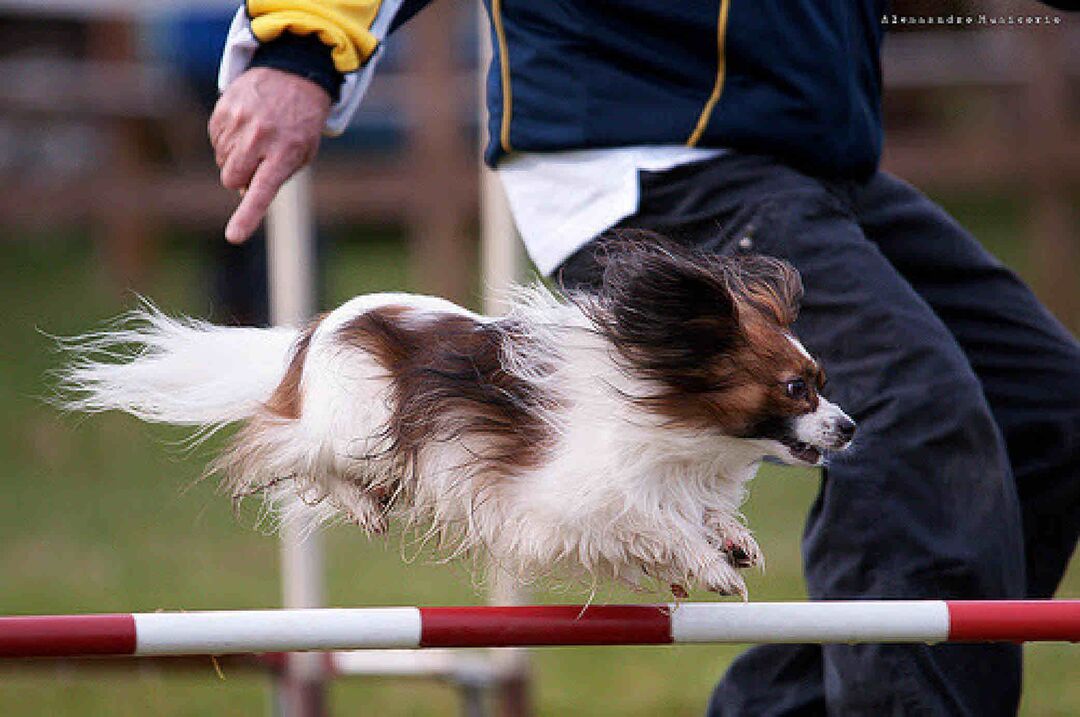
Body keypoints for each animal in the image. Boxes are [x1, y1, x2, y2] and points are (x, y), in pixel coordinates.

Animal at [59, 232, 855, 596]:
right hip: (357, 424)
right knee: (290, 452)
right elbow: (651, 521)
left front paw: (730, 537)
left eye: (821, 381)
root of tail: (310, 335)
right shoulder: (566, 501)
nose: (850, 427)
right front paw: (708, 564)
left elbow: (697, 511)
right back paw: (360, 503)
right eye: (796, 389)